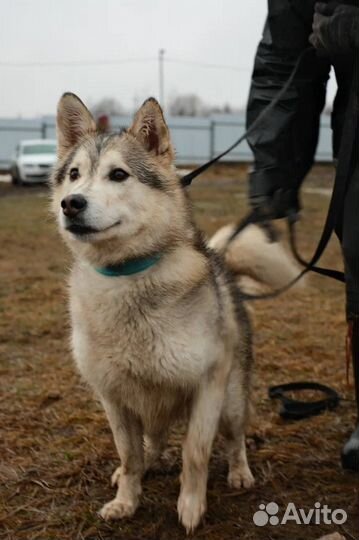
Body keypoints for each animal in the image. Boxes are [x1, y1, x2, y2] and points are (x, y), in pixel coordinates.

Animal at [51, 95, 300, 532]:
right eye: (74, 174)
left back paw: (240, 472)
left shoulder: (207, 387)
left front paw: (191, 505)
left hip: (232, 401)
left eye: (119, 174)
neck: (127, 276)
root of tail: (223, 263)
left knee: (234, 439)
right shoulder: (114, 396)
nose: (71, 203)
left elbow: (195, 452)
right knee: (152, 442)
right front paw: (126, 499)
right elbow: (129, 454)